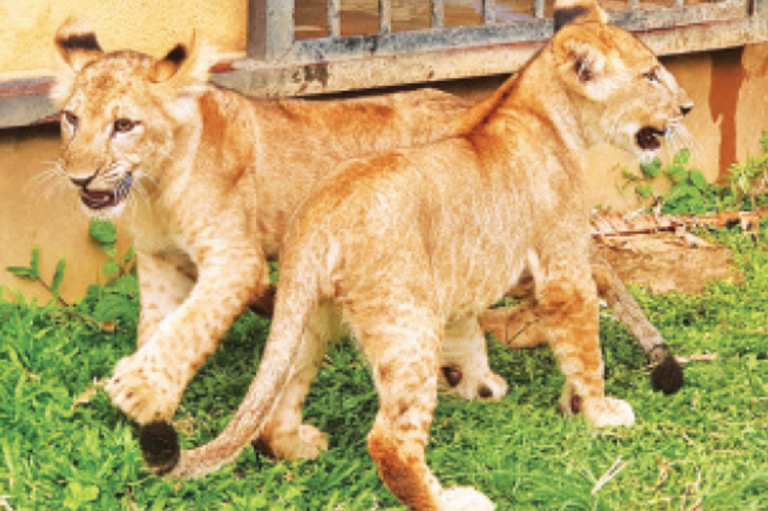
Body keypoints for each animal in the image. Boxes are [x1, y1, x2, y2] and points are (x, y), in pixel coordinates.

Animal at [137, 7, 693, 511]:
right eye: (650, 75)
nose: (687, 108)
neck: (547, 115)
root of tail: (321, 213)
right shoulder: (563, 268)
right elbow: (585, 346)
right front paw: (600, 412)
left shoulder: (460, 278)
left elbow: (471, 333)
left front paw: (485, 385)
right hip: (406, 322)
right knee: (391, 442)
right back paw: (454, 500)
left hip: (311, 317)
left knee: (274, 409)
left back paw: (299, 445)